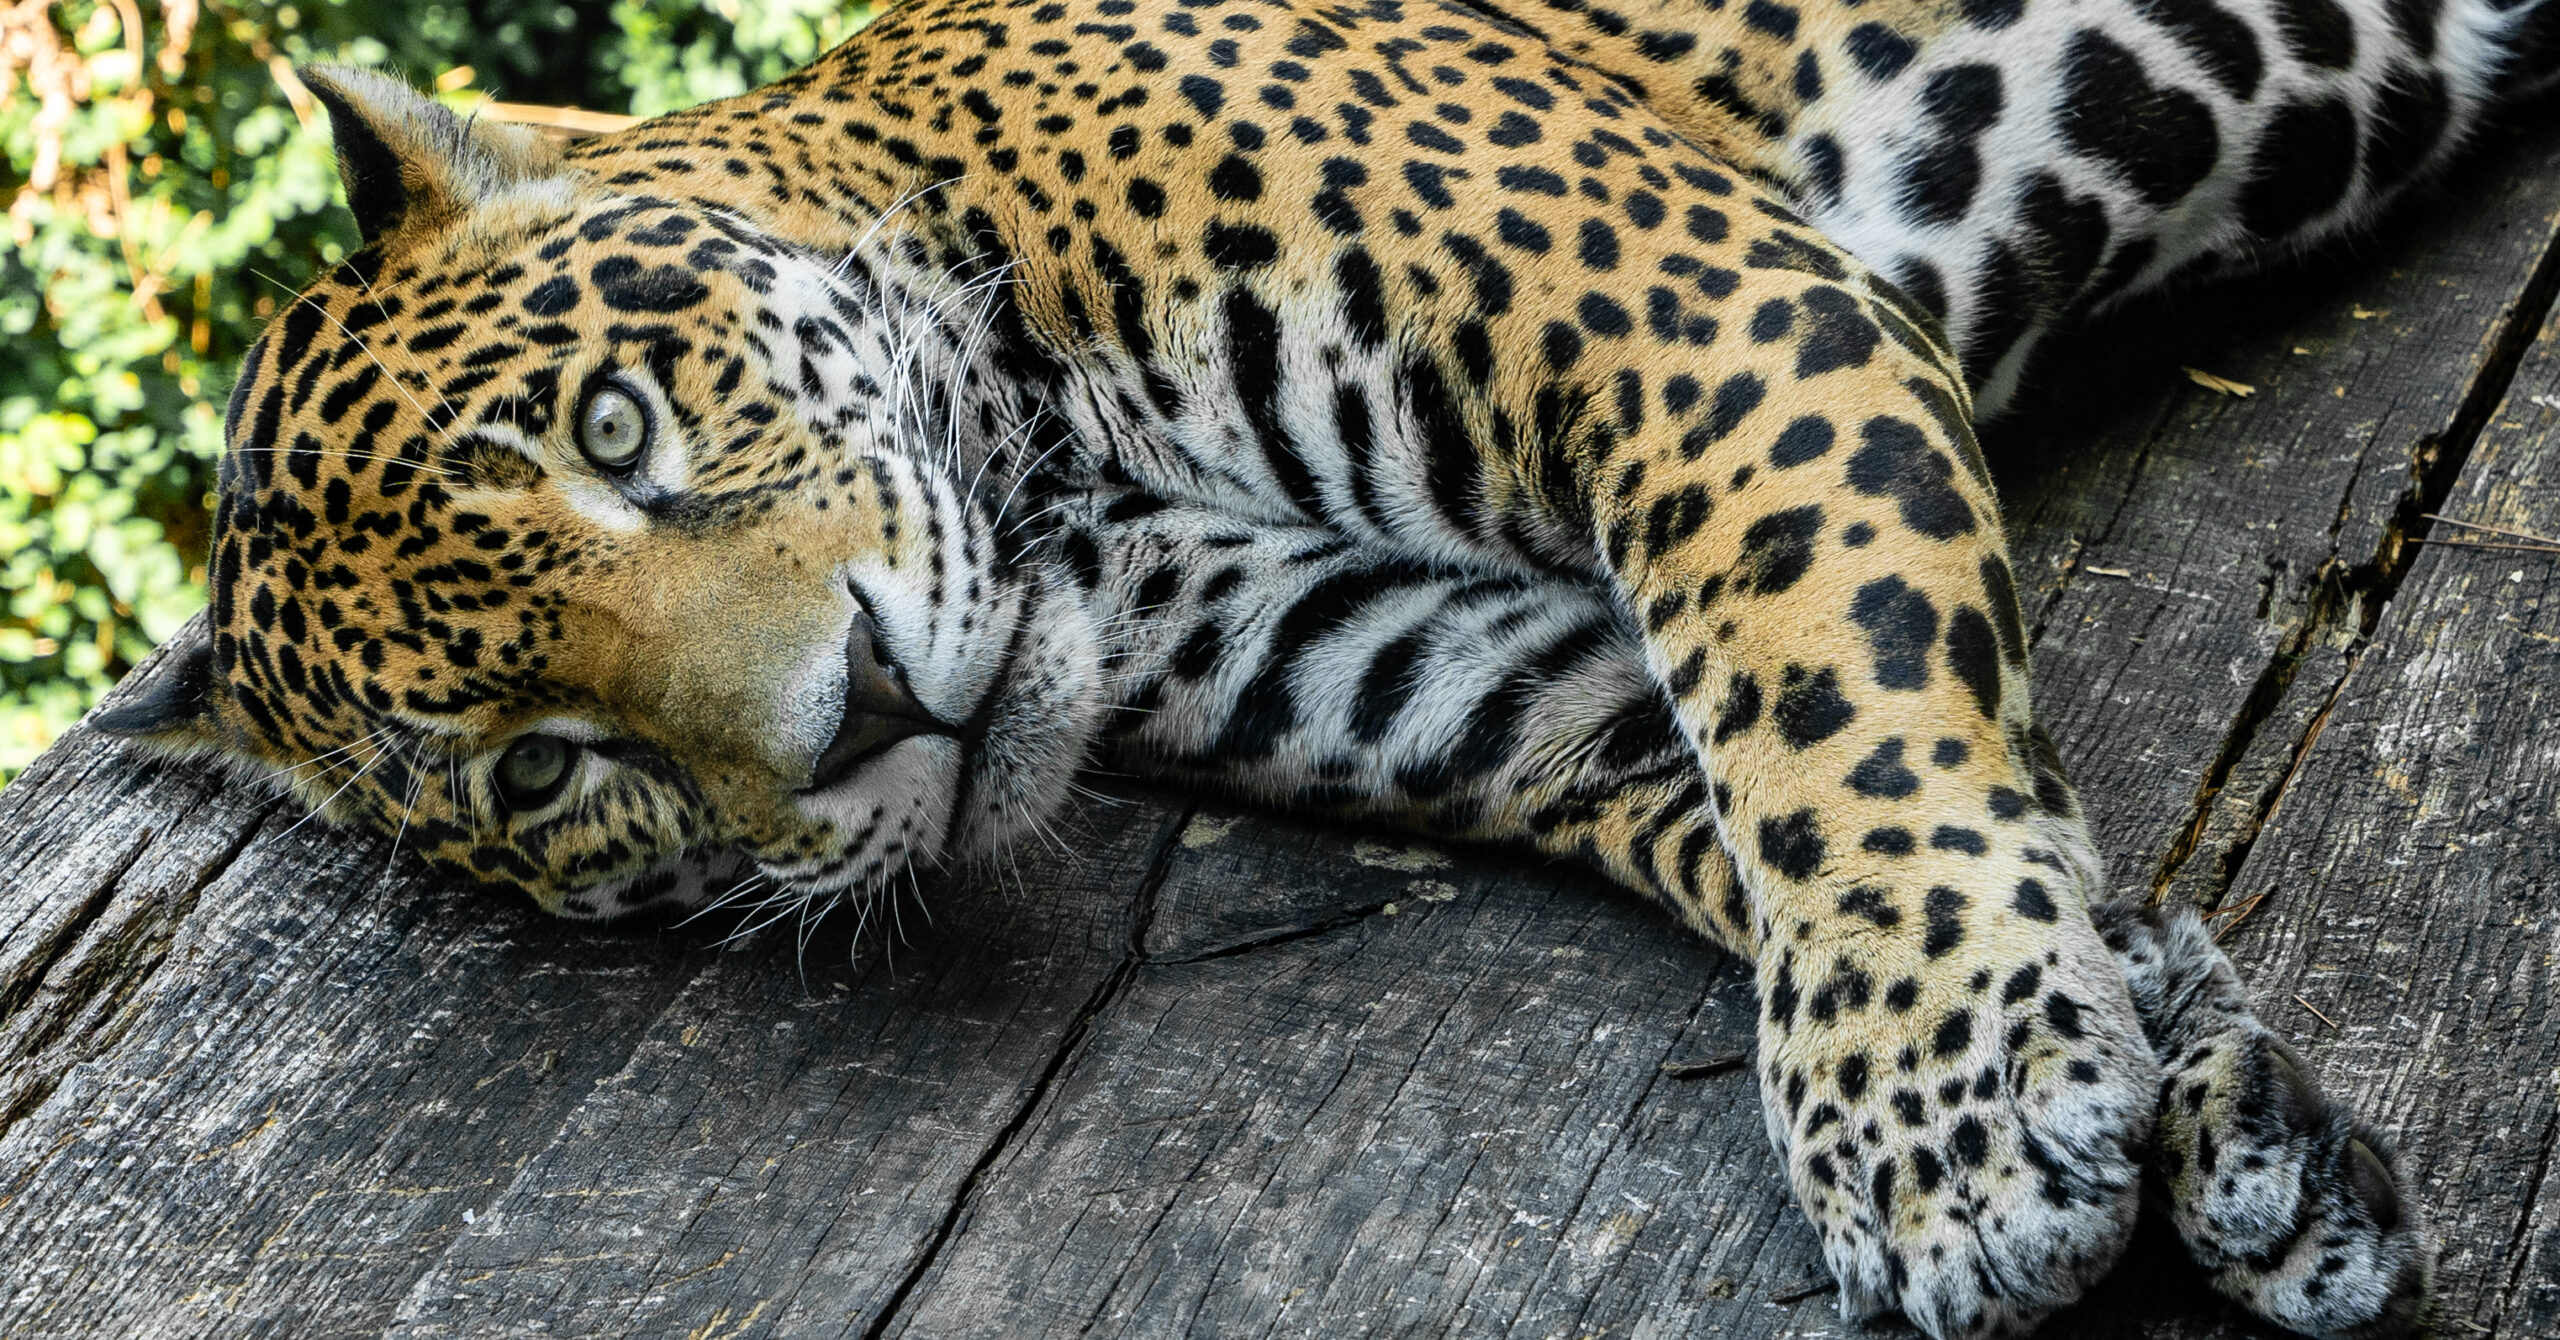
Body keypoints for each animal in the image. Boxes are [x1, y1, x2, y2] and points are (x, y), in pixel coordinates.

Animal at [86, 0, 2558, 1332]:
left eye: (618, 428)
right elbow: (1779, 804)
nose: (864, 711)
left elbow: (1830, 706)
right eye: (537, 766)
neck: (1063, 471)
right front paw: (2212, 1108)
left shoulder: (1703, 316)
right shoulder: (1469, 670)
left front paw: (1935, 1128)